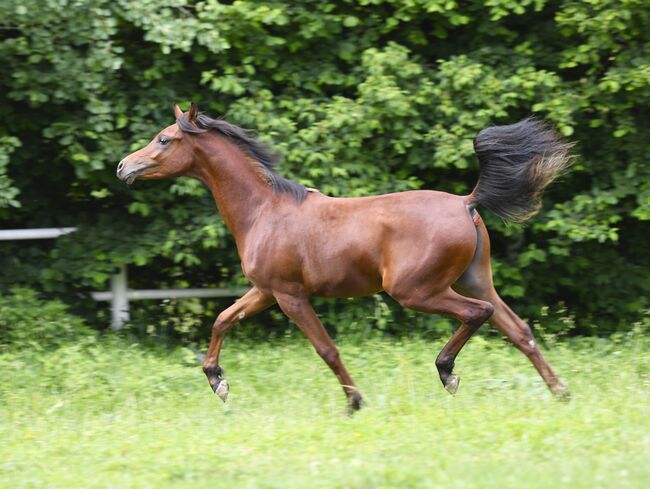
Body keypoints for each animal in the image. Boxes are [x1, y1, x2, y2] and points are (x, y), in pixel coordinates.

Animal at [117, 105, 572, 410]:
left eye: (164, 139)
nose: (124, 167)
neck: (264, 210)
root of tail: (467, 202)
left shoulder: (289, 295)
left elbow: (326, 349)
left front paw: (355, 402)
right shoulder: (264, 291)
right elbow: (222, 319)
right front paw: (217, 382)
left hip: (417, 291)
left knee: (477, 314)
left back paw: (448, 373)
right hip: (475, 280)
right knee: (520, 331)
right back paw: (561, 393)